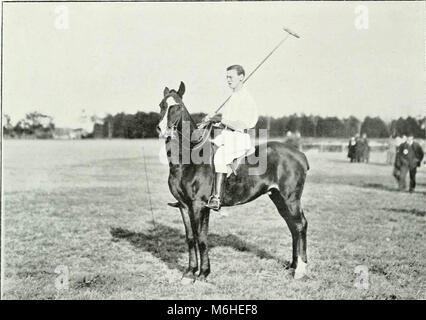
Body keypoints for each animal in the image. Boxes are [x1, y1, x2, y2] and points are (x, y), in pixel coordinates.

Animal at [156, 82, 310, 280]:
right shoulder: (184, 205)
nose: (162, 130)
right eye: (161, 105)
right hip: (278, 197)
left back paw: (301, 269)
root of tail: (300, 155)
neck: (189, 159)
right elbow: (190, 238)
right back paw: (293, 265)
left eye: (177, 106)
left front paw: (203, 274)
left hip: (291, 198)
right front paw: (190, 272)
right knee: (292, 226)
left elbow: (201, 238)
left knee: (300, 224)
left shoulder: (199, 206)